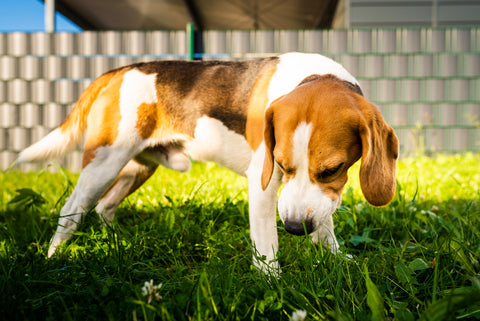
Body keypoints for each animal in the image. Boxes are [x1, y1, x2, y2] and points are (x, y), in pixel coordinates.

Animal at [16, 53, 398, 272]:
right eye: (281, 164)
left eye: (332, 170)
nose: (294, 229)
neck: (315, 76)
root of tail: (118, 71)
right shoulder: (263, 183)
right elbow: (267, 245)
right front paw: (273, 284)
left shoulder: (316, 198)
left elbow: (324, 222)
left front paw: (335, 258)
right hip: (104, 162)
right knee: (72, 209)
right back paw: (54, 258)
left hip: (138, 167)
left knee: (105, 206)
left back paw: (115, 244)